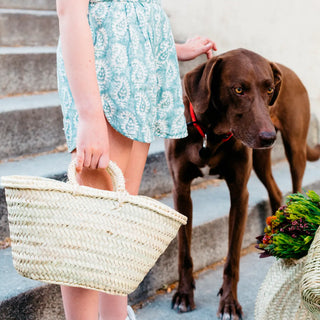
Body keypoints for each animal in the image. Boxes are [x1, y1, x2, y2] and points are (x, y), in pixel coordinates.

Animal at [165, 48, 320, 320]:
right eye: (238, 89)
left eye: (269, 90)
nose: (268, 137)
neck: (210, 133)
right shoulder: (181, 190)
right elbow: (184, 251)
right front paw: (183, 295)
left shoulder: (239, 193)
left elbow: (232, 258)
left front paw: (229, 304)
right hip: (261, 159)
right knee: (275, 190)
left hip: (294, 150)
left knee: (295, 191)